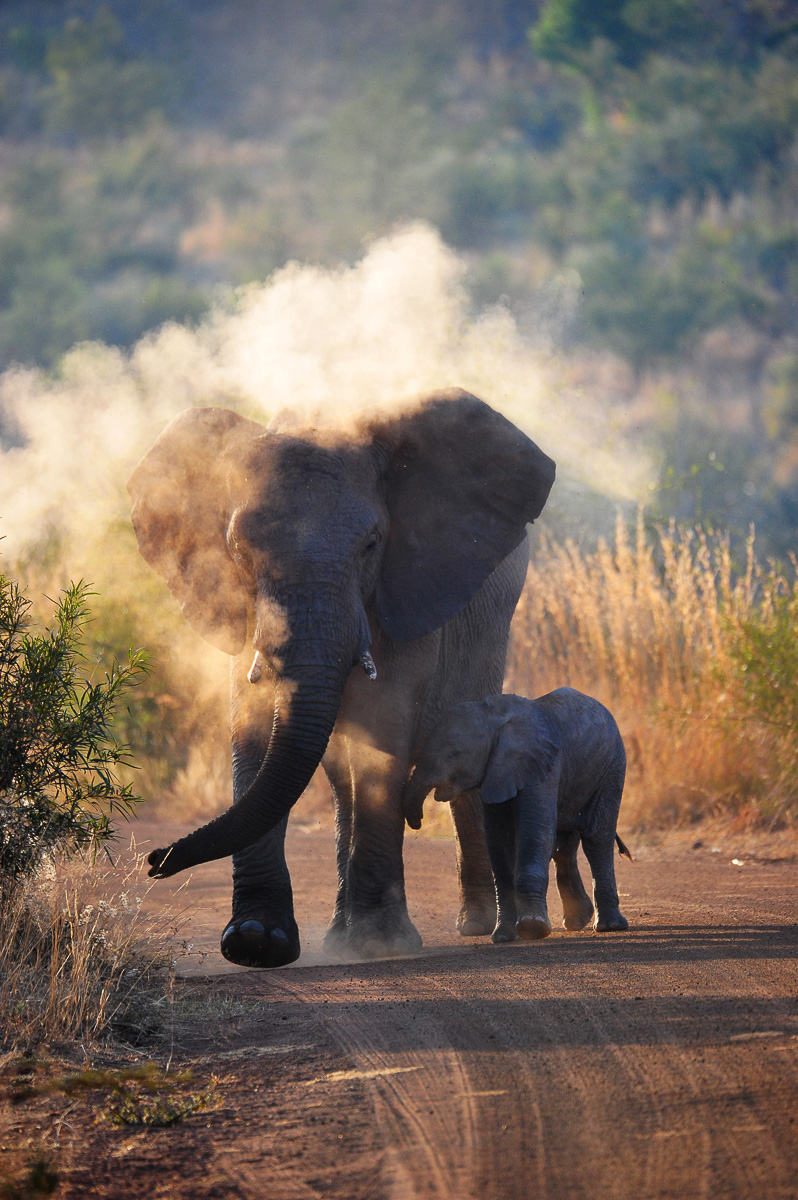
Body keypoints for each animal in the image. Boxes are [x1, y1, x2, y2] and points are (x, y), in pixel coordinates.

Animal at [128, 388, 555, 967]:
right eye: (238, 551)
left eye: (372, 545)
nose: (154, 860)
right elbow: (253, 729)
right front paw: (255, 940)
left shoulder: (408, 584)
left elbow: (384, 721)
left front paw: (379, 943)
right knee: (339, 777)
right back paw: (340, 934)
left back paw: (475, 925)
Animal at [402, 688, 632, 942]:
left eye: (455, 753)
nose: (417, 822)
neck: (494, 718)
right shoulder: (496, 772)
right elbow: (498, 841)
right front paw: (503, 936)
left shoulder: (543, 767)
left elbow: (534, 834)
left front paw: (533, 928)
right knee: (563, 845)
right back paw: (577, 921)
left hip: (612, 768)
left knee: (596, 838)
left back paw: (610, 926)